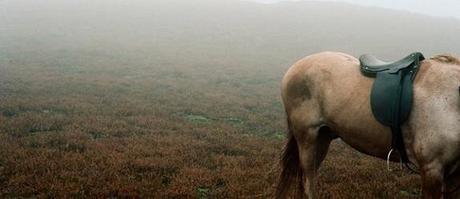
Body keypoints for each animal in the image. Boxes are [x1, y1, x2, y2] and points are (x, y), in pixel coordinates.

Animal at [274, 52, 458, 198]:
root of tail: (295, 67)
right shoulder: (431, 169)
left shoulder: (453, 175)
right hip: (307, 139)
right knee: (309, 183)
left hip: (323, 138)